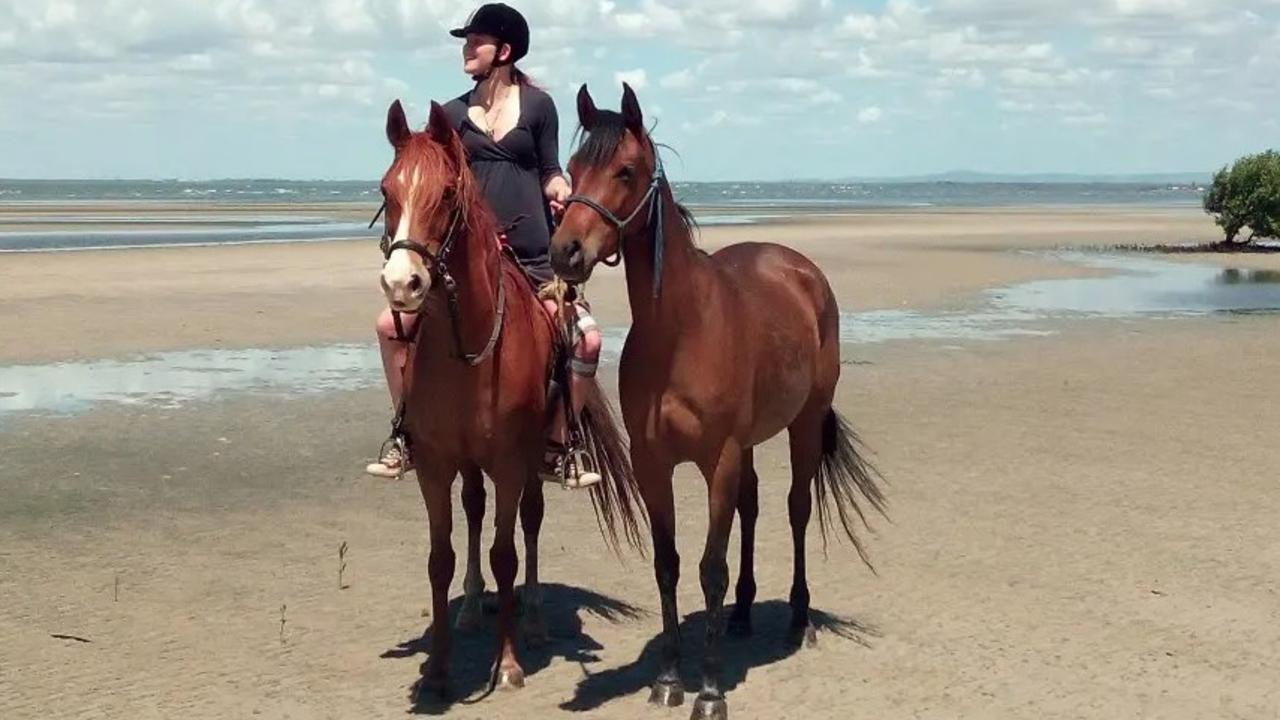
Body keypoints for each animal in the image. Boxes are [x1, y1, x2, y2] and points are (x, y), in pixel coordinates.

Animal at [373, 98, 645, 691]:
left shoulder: (509, 462)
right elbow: (441, 558)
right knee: (474, 511)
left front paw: (509, 663)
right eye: (386, 189)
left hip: (532, 457)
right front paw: (439, 668)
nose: (402, 284)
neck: (467, 347)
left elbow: (505, 554)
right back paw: (476, 608)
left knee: (532, 522)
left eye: (446, 193)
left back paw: (535, 619)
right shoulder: (436, 464)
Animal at [545, 83, 885, 717]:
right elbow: (669, 565)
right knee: (751, 507)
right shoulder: (654, 465)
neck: (679, 331)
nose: (565, 252)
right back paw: (744, 615)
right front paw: (668, 677)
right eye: (573, 168)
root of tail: (800, 270)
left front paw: (707, 690)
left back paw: (798, 618)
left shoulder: (717, 460)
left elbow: (709, 568)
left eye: (625, 171)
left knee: (796, 508)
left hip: (802, 426)